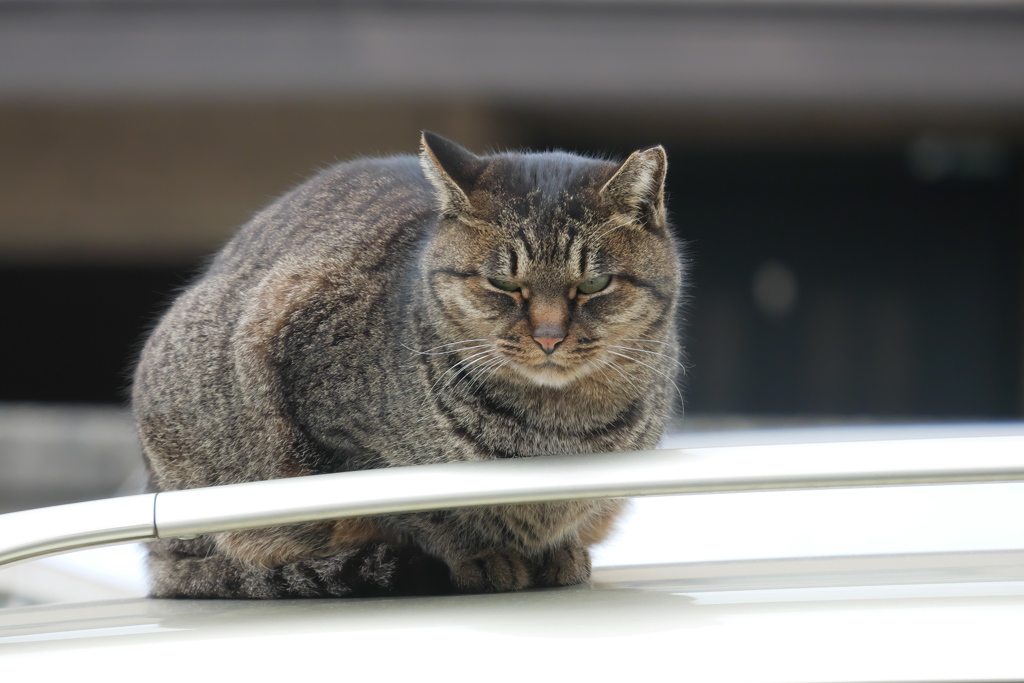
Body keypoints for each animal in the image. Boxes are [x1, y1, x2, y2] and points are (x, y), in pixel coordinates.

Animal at [132, 132, 684, 598]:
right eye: (503, 284)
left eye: (593, 284)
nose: (549, 337)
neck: (556, 430)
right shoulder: (343, 439)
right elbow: (425, 513)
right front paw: (479, 555)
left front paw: (560, 552)